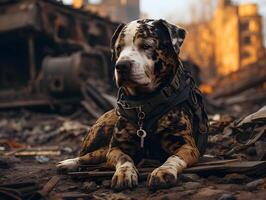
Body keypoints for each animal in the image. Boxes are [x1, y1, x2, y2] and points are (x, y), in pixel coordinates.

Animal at [57, 18, 209, 191]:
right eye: (118, 48)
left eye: (146, 45)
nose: (121, 65)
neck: (145, 102)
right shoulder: (116, 148)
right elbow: (124, 159)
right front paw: (125, 173)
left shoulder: (187, 146)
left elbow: (174, 157)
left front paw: (163, 170)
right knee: (90, 155)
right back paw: (69, 163)